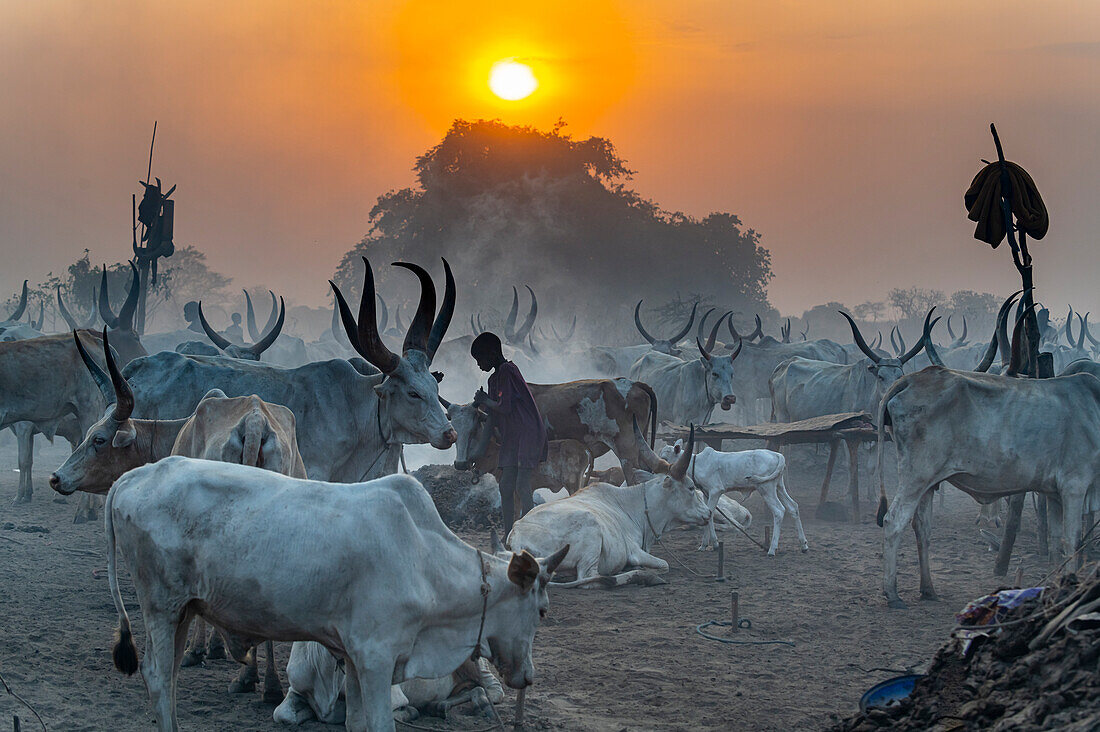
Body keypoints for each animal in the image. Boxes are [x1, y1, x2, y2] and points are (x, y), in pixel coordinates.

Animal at [508, 422, 712, 590]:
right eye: (691, 487)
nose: (709, 512)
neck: (633, 507)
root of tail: (517, 537)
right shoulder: (635, 551)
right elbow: (664, 565)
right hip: (591, 536)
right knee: (590, 578)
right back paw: (641, 576)